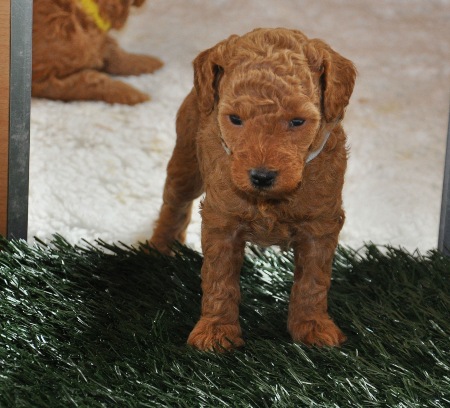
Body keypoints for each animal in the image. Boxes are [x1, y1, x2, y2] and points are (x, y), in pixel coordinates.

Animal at [150, 28, 356, 351]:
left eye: (297, 121)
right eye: (235, 119)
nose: (261, 176)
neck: (269, 200)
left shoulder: (320, 224)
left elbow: (313, 282)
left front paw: (312, 326)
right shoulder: (222, 223)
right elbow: (219, 279)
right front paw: (216, 332)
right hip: (185, 162)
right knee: (174, 204)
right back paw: (161, 247)